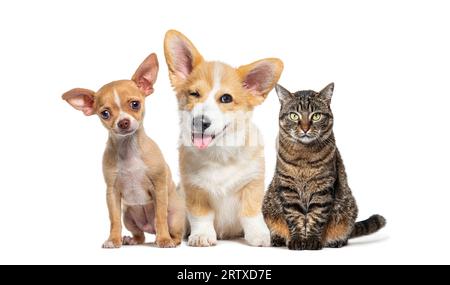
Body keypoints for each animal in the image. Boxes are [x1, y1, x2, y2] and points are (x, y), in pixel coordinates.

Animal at [62, 52, 185, 246]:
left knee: (172, 230)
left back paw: (168, 239)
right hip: (129, 216)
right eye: (105, 114)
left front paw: (164, 240)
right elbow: (114, 219)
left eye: (135, 104)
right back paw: (131, 239)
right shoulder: (112, 193)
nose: (123, 122)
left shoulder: (159, 187)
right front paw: (113, 239)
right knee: (140, 235)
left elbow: (160, 217)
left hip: (174, 217)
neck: (129, 150)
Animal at [163, 30, 284, 245]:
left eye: (226, 98)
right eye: (194, 94)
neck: (220, 154)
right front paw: (202, 235)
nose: (200, 122)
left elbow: (251, 213)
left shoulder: (252, 183)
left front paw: (259, 235)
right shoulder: (193, 188)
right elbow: (201, 215)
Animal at [264, 82, 386, 248]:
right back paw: (278, 239)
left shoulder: (322, 187)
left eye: (316, 116)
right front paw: (297, 240)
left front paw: (311, 241)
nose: (305, 128)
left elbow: (316, 216)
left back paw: (336, 241)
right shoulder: (288, 188)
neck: (304, 157)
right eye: (294, 115)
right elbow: (294, 216)